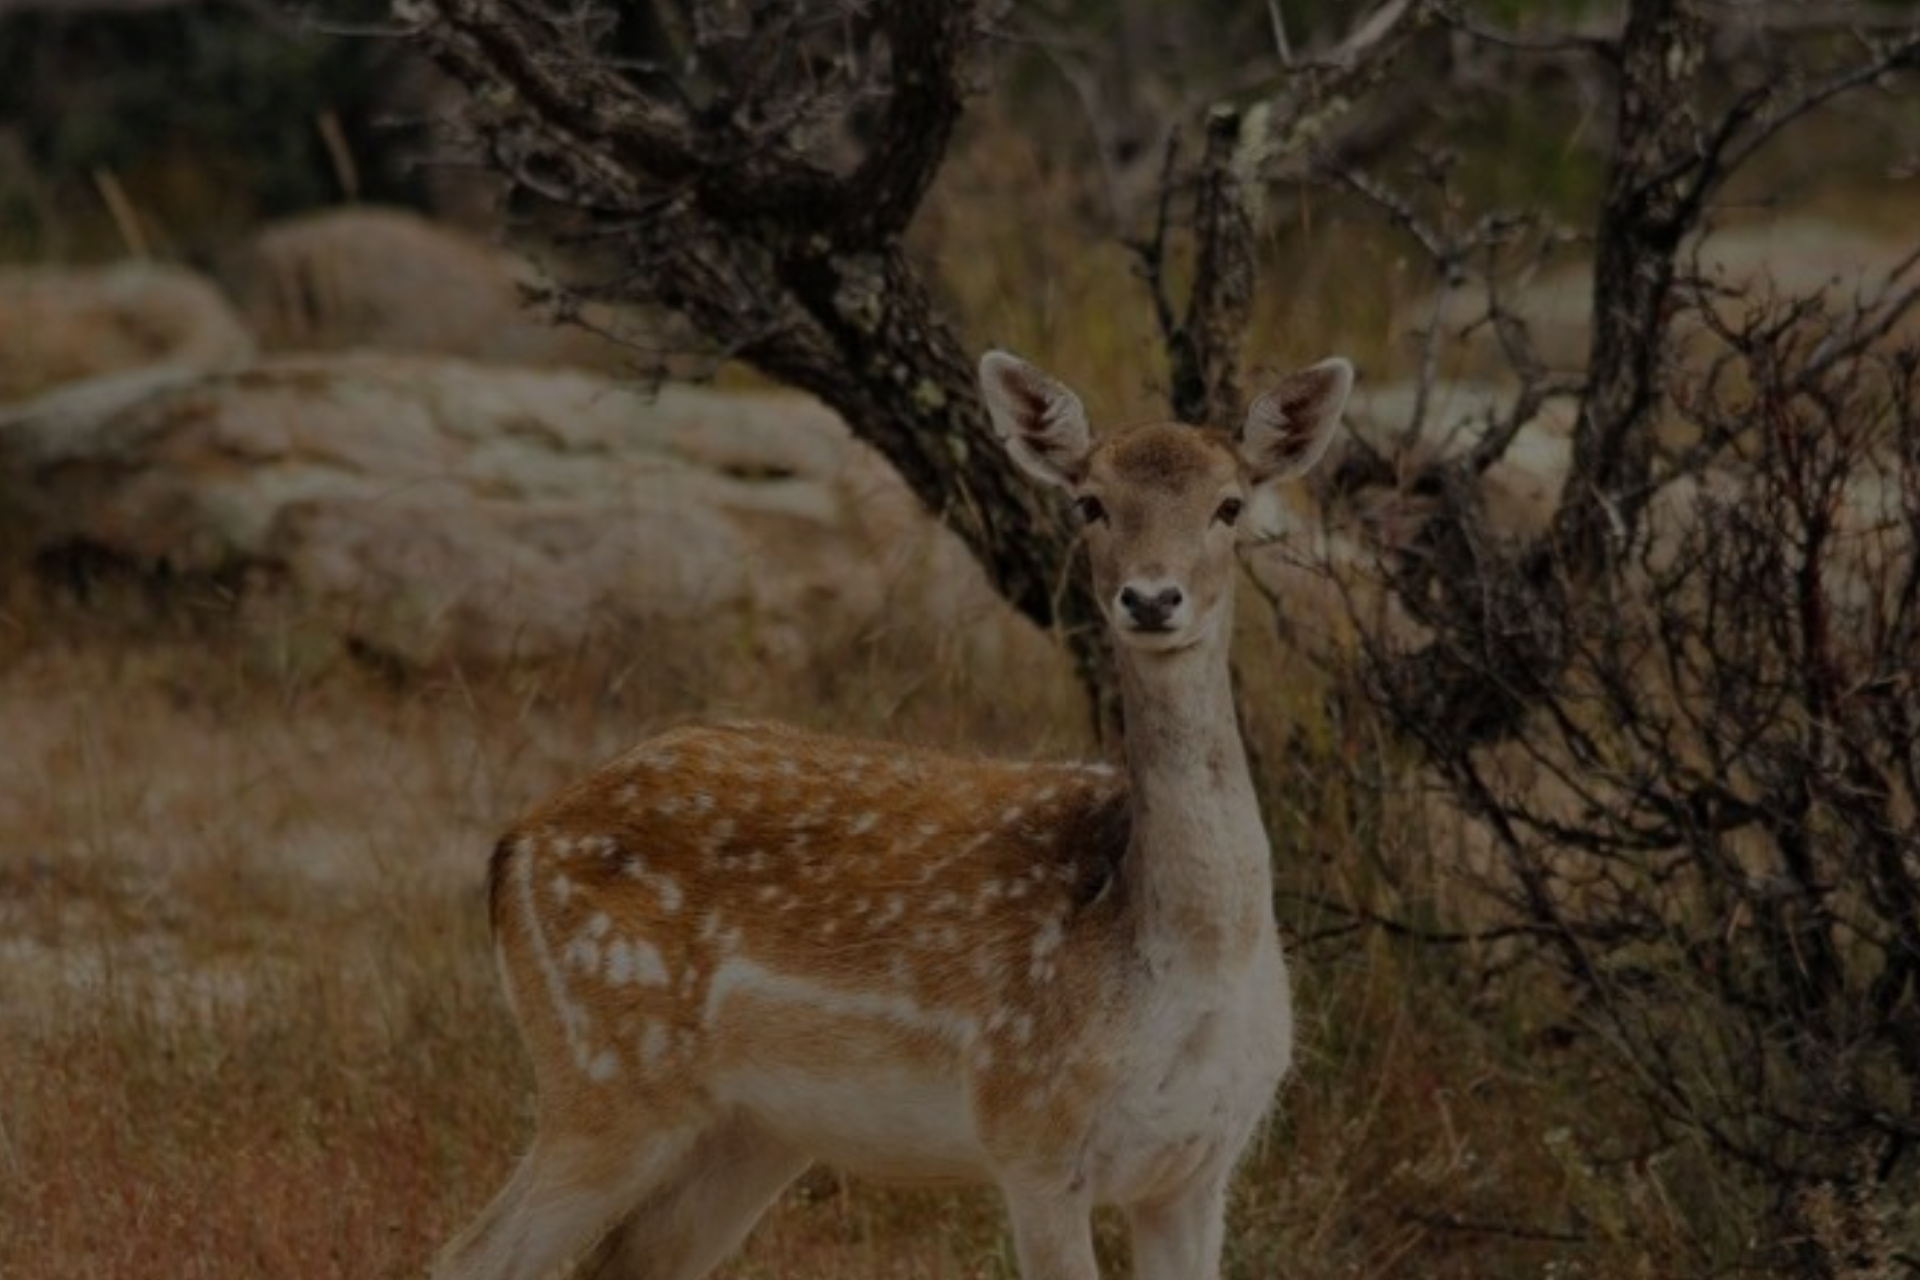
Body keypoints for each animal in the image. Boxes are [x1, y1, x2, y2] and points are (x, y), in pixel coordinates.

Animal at [437, 347, 1359, 1280]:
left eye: (1230, 505)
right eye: (1091, 502)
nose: (1151, 599)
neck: (1186, 966)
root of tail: (514, 845)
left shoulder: (1200, 1168)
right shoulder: (1031, 1133)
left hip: (749, 1128)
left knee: (627, 1258)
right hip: (606, 1074)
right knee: (471, 1254)